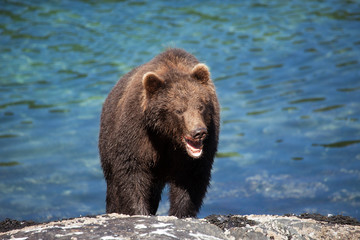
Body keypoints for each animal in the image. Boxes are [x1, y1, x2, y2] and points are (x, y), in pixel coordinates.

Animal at [100, 48, 221, 218]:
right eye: (179, 110)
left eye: (201, 106)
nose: (198, 132)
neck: (167, 136)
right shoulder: (137, 134)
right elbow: (132, 174)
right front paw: (139, 212)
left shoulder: (205, 144)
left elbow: (190, 180)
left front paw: (180, 213)